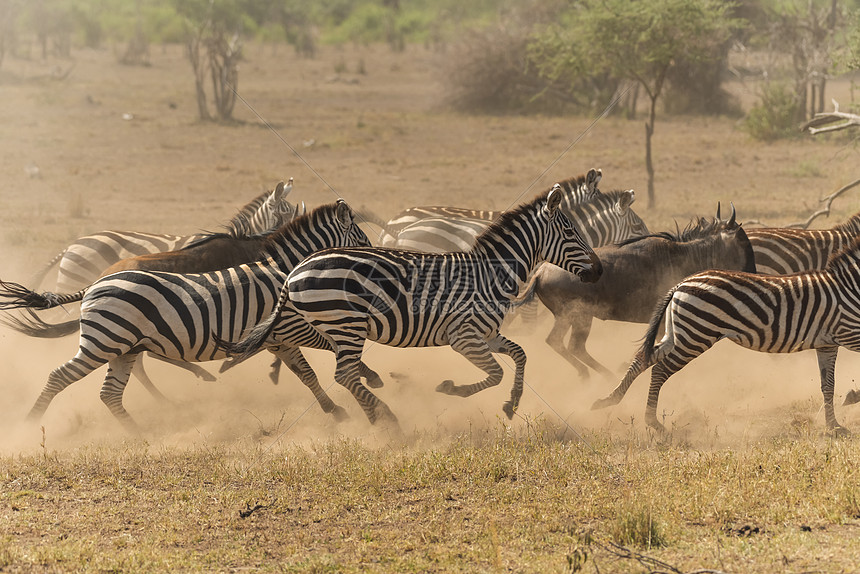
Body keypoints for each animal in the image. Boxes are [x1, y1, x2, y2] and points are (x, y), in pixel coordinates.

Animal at [0, 200, 370, 430]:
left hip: (127, 342)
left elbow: (305, 369)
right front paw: (366, 378)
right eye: (361, 237)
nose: (368, 261)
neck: (277, 267)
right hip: (111, 340)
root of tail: (97, 280)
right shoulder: (283, 326)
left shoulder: (274, 333)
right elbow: (320, 352)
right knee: (72, 375)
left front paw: (336, 406)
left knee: (122, 380)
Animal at [218, 187, 600, 430]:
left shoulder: (487, 334)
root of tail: (296, 269)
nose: (598, 271)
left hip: (331, 327)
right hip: (346, 324)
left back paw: (373, 414)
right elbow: (495, 374)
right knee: (344, 374)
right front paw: (451, 388)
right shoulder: (464, 337)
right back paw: (387, 418)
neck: (489, 273)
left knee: (340, 372)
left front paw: (512, 404)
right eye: (571, 232)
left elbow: (520, 355)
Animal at [592, 238, 860, 436]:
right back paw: (654, 423)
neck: (849, 287)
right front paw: (852, 398)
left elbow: (827, 385)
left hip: (678, 333)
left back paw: (608, 400)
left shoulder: (828, 343)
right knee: (659, 370)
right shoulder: (851, 335)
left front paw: (834, 426)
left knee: (643, 359)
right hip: (695, 336)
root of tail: (681, 283)